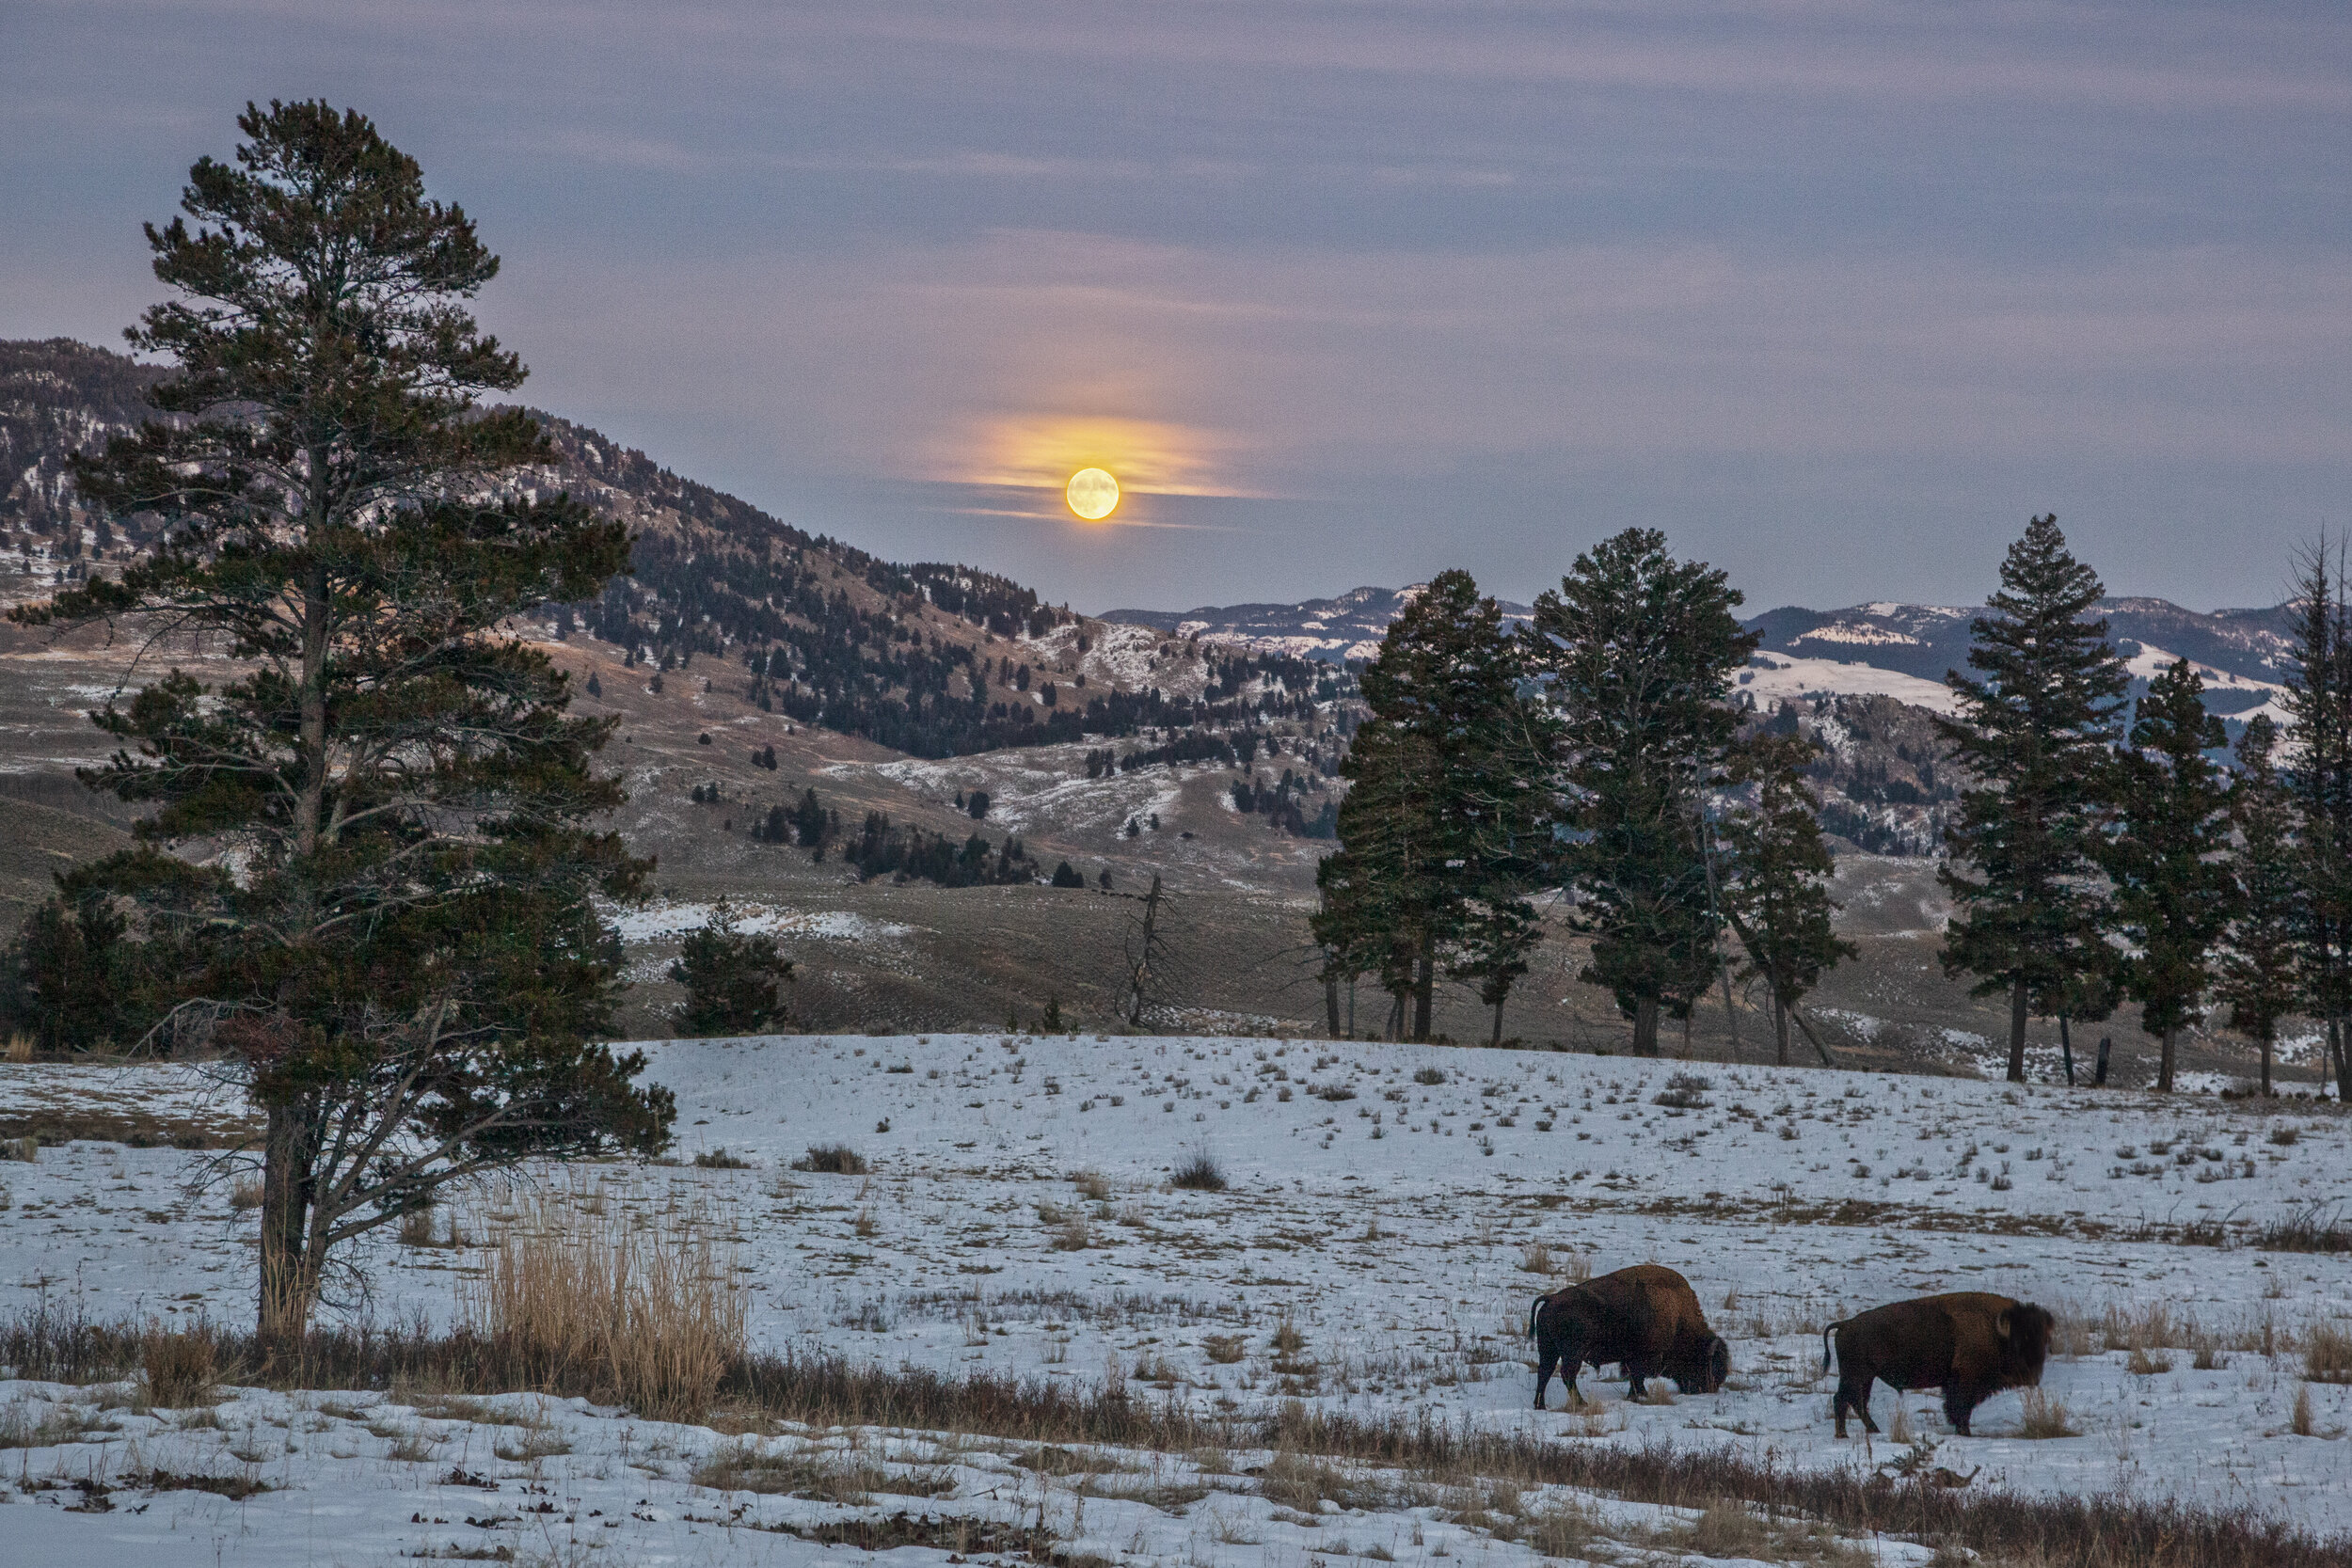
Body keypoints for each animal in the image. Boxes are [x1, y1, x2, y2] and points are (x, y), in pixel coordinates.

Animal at [1524, 1259, 1731, 1410]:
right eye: (1711, 1364)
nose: (1710, 1388)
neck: (1678, 1317)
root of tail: (1551, 1299)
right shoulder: (1641, 1358)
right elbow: (1636, 1377)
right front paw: (1639, 1395)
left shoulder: (1632, 1358)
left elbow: (1634, 1377)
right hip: (1572, 1353)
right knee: (1567, 1375)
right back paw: (1582, 1403)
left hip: (1549, 1350)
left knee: (1545, 1372)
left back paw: (1540, 1405)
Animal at [1816, 1297, 2060, 1438]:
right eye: (2019, 1342)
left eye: (2044, 1341)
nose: (2032, 1377)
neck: (1996, 1332)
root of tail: (1846, 1324)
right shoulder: (1965, 1383)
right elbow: (1961, 1408)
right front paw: (1965, 1432)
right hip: (1857, 1375)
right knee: (1843, 1399)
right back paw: (1844, 1435)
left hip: (1866, 1378)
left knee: (1856, 1401)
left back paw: (1872, 1430)